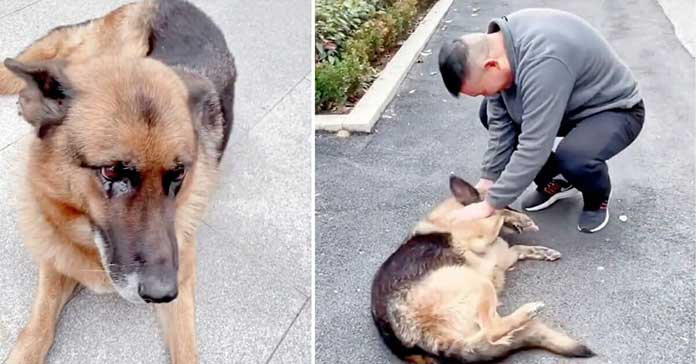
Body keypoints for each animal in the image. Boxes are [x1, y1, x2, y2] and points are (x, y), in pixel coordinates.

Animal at [0, 1, 237, 362]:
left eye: (179, 174)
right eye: (111, 172)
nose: (163, 291)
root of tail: (182, 4)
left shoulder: (183, 277)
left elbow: (186, 348)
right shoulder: (55, 259)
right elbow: (37, 328)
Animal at [372, 176, 596, 362]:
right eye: (507, 203)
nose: (520, 213)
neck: (454, 214)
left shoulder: (503, 255)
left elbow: (519, 247)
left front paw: (542, 251)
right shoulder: (481, 237)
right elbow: (498, 215)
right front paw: (518, 218)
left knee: (491, 332)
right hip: (477, 282)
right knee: (491, 330)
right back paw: (528, 311)